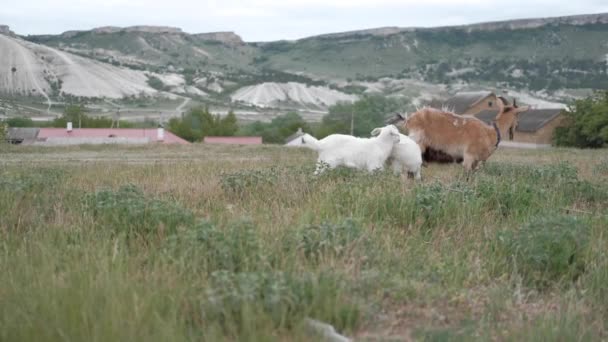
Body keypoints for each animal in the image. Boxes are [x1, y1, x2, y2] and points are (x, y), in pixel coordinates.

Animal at [390, 97, 528, 172]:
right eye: (517, 114)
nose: (518, 125)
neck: (490, 132)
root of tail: (409, 119)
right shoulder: (469, 157)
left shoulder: (476, 162)